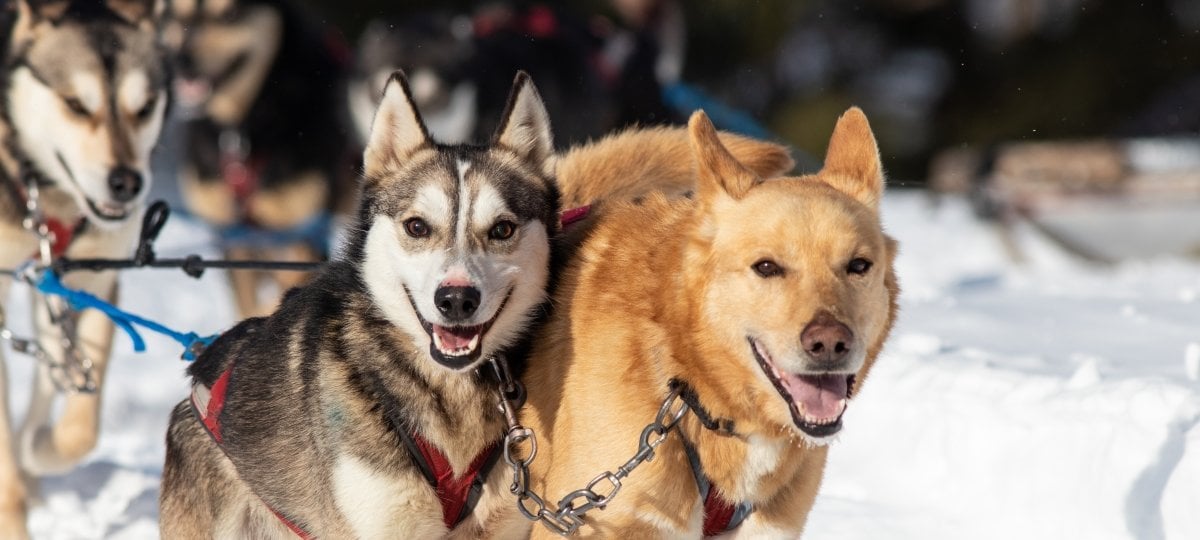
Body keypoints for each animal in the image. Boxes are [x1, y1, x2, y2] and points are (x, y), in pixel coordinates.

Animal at [0, 0, 169, 535]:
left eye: (144, 107)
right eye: (75, 104)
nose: (126, 183)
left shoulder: (96, 275)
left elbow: (82, 430)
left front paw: (40, 449)